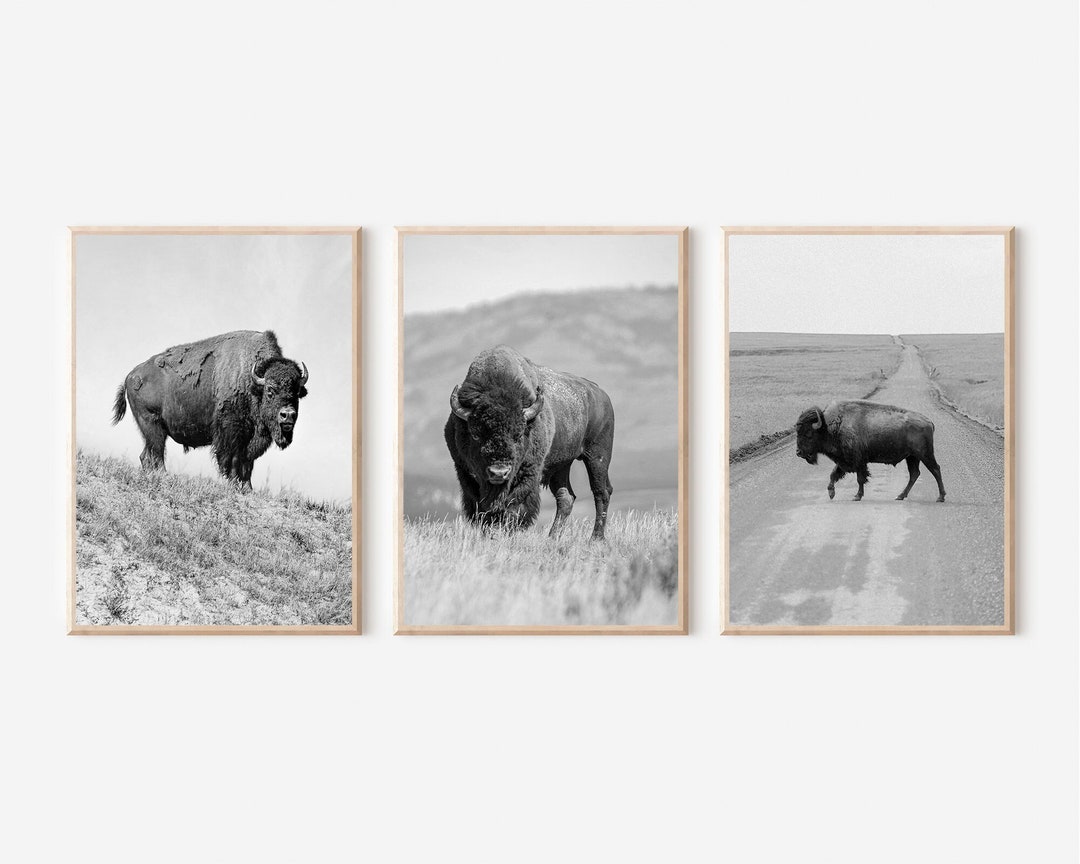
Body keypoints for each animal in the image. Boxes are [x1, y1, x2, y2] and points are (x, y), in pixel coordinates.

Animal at [112, 330, 308, 490]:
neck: (252, 383)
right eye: (270, 391)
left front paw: (248, 489)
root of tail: (130, 376)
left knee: (147, 455)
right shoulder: (231, 433)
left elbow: (247, 464)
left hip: (152, 430)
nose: (287, 415)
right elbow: (232, 460)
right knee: (157, 454)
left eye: (296, 393)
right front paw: (232, 484)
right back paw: (164, 476)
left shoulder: (250, 440)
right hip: (153, 425)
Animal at [444, 345, 615, 539]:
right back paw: (552, 537)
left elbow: (514, 507)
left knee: (601, 492)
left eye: (518, 435)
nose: (499, 472)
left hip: (597, 456)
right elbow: (482, 510)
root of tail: (601, 394)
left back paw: (596, 538)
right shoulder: (465, 472)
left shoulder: (528, 473)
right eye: (475, 434)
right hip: (562, 465)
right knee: (566, 497)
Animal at [795, 400, 946, 502]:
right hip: (912, 457)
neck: (831, 426)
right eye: (798, 432)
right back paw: (900, 496)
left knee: (935, 470)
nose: (798, 453)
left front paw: (857, 496)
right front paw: (831, 493)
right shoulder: (844, 460)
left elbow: (860, 479)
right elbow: (833, 474)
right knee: (914, 474)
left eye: (808, 434)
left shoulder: (858, 461)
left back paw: (940, 497)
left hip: (925, 455)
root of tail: (929, 422)